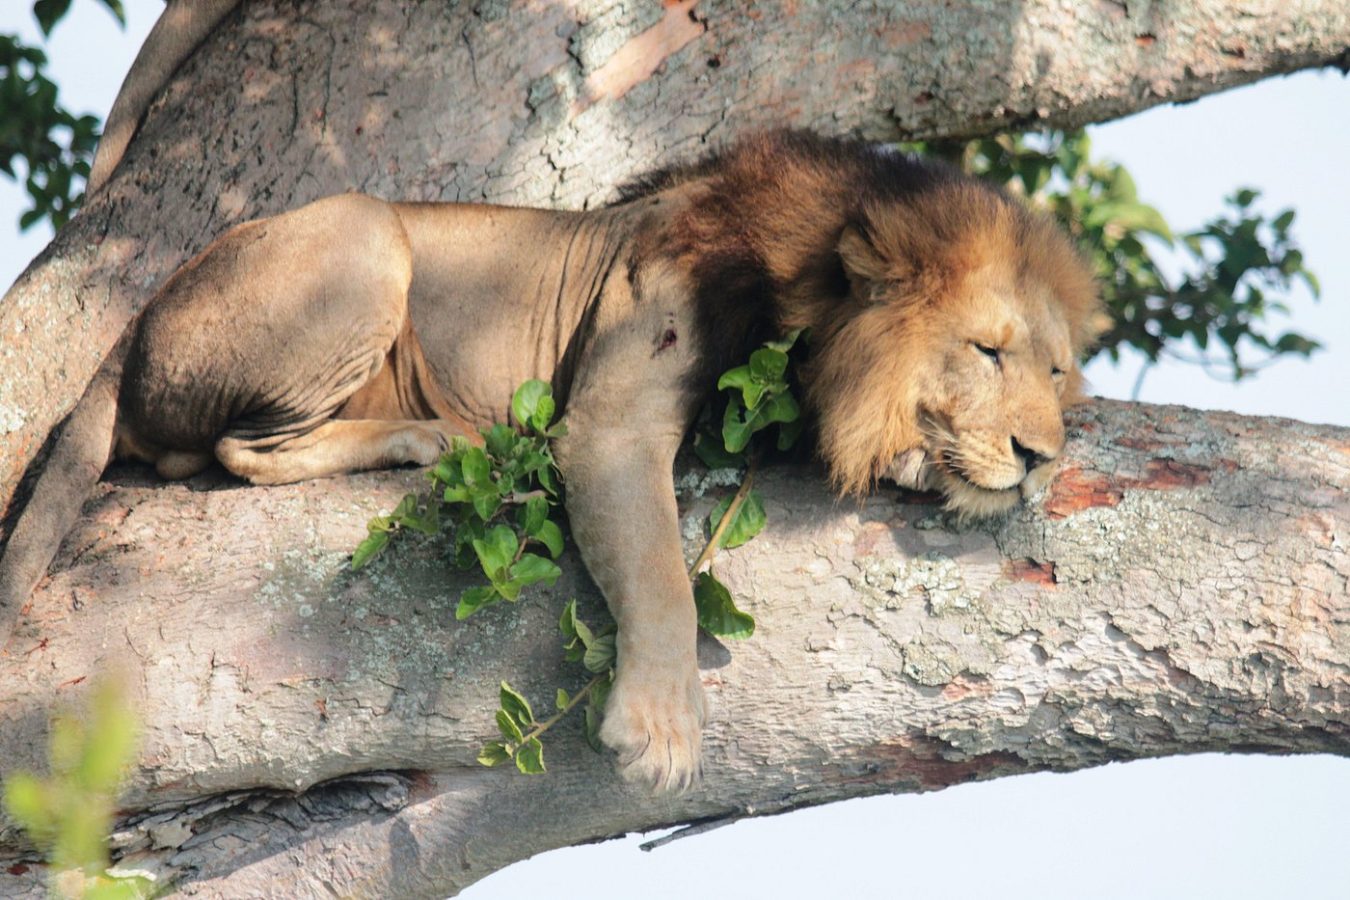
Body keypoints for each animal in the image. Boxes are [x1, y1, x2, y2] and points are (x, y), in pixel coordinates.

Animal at [2, 130, 1107, 793]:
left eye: (1054, 369)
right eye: (987, 350)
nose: (1041, 456)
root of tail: (131, 325)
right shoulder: (611, 416)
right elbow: (660, 576)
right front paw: (660, 728)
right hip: (365, 232)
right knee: (234, 450)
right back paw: (431, 435)